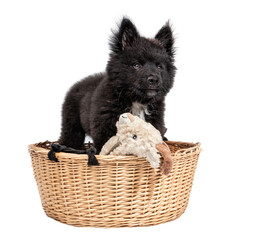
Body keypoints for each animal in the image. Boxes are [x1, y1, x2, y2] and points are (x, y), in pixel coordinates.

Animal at [58, 18, 176, 158]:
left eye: (159, 67)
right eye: (136, 65)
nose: (154, 79)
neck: (136, 101)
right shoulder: (105, 131)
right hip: (72, 126)